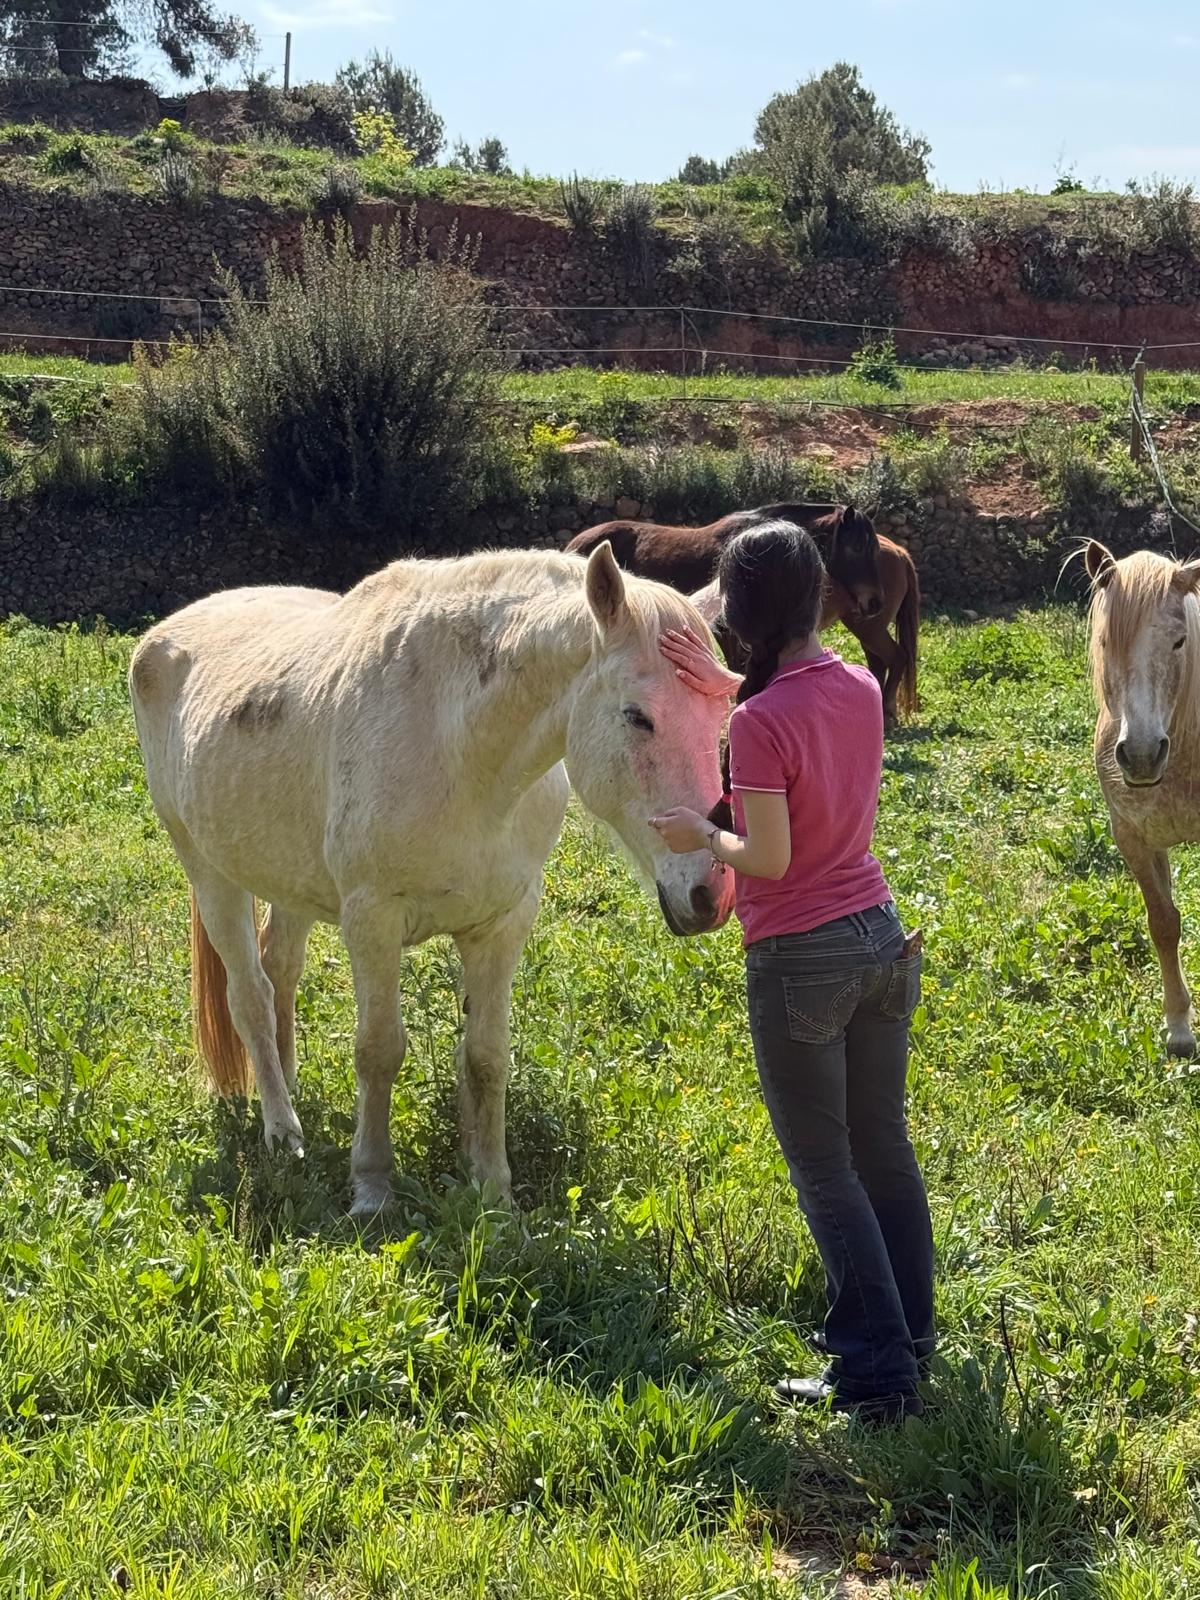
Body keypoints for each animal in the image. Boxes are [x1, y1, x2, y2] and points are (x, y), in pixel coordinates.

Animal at [129, 544, 735, 1215]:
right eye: (637, 717)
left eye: (722, 713)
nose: (710, 892)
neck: (461, 750)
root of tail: (163, 637)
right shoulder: (372, 920)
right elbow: (378, 1050)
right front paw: (372, 1188)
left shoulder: (502, 923)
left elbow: (487, 1056)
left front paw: (494, 1190)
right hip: (210, 873)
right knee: (251, 997)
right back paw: (282, 1131)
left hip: (290, 883)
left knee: (279, 969)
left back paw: (287, 1088)